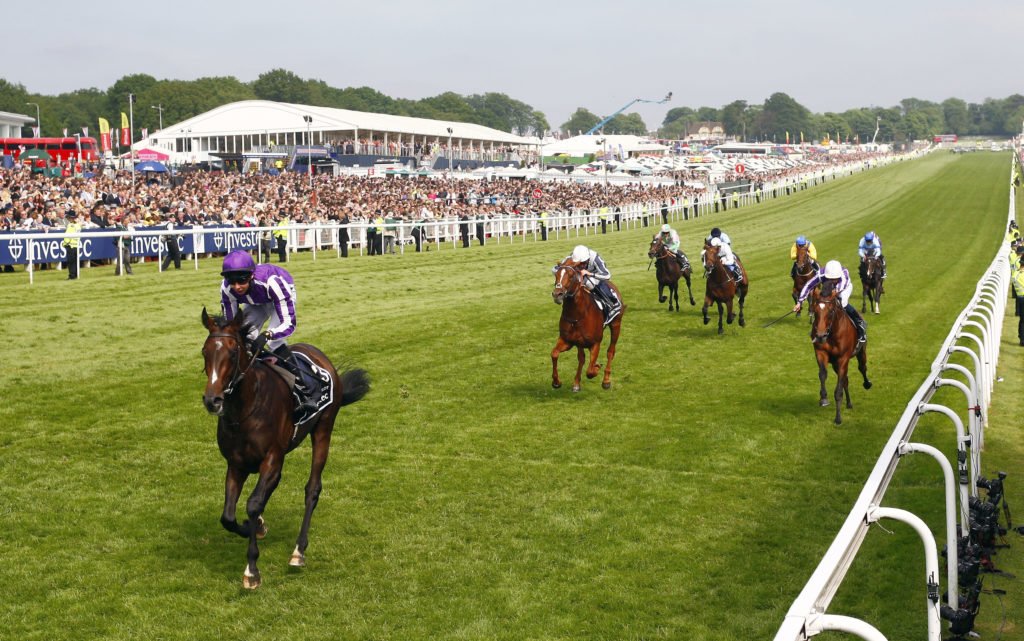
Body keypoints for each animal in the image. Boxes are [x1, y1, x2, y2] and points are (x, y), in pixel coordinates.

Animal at [200, 307, 372, 585]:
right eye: (205, 352)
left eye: (233, 353)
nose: (212, 400)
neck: (245, 409)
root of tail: (320, 356)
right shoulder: (236, 464)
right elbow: (228, 516)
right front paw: (255, 527)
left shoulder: (273, 458)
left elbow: (253, 504)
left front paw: (252, 569)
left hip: (324, 429)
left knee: (313, 489)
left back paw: (299, 551)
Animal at [552, 260, 622, 389]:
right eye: (556, 275)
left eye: (571, 276)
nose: (557, 294)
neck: (577, 315)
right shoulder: (567, 340)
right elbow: (554, 354)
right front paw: (556, 382)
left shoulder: (595, 343)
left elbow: (590, 371)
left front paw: (597, 367)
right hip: (579, 342)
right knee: (581, 358)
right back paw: (576, 383)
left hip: (616, 324)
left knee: (610, 352)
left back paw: (606, 380)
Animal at [811, 282, 868, 421]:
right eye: (815, 311)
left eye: (831, 311)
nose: (820, 336)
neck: (832, 333)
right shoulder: (821, 353)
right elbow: (823, 374)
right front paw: (824, 398)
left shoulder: (843, 358)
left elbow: (838, 390)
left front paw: (838, 418)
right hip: (835, 364)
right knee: (845, 380)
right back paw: (849, 403)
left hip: (860, 352)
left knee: (862, 368)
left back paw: (867, 384)